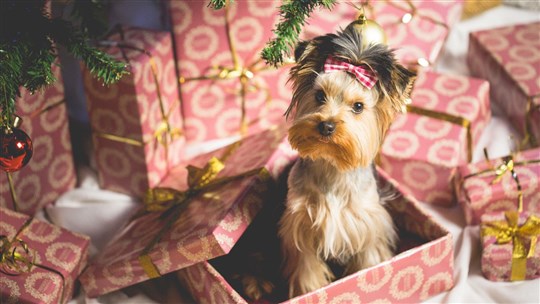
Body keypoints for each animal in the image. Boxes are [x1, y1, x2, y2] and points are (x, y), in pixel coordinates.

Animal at [280, 26, 416, 296]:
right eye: (320, 96)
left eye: (358, 106)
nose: (327, 125)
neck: (332, 165)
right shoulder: (300, 228)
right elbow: (307, 272)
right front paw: (309, 292)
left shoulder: (369, 228)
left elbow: (370, 262)